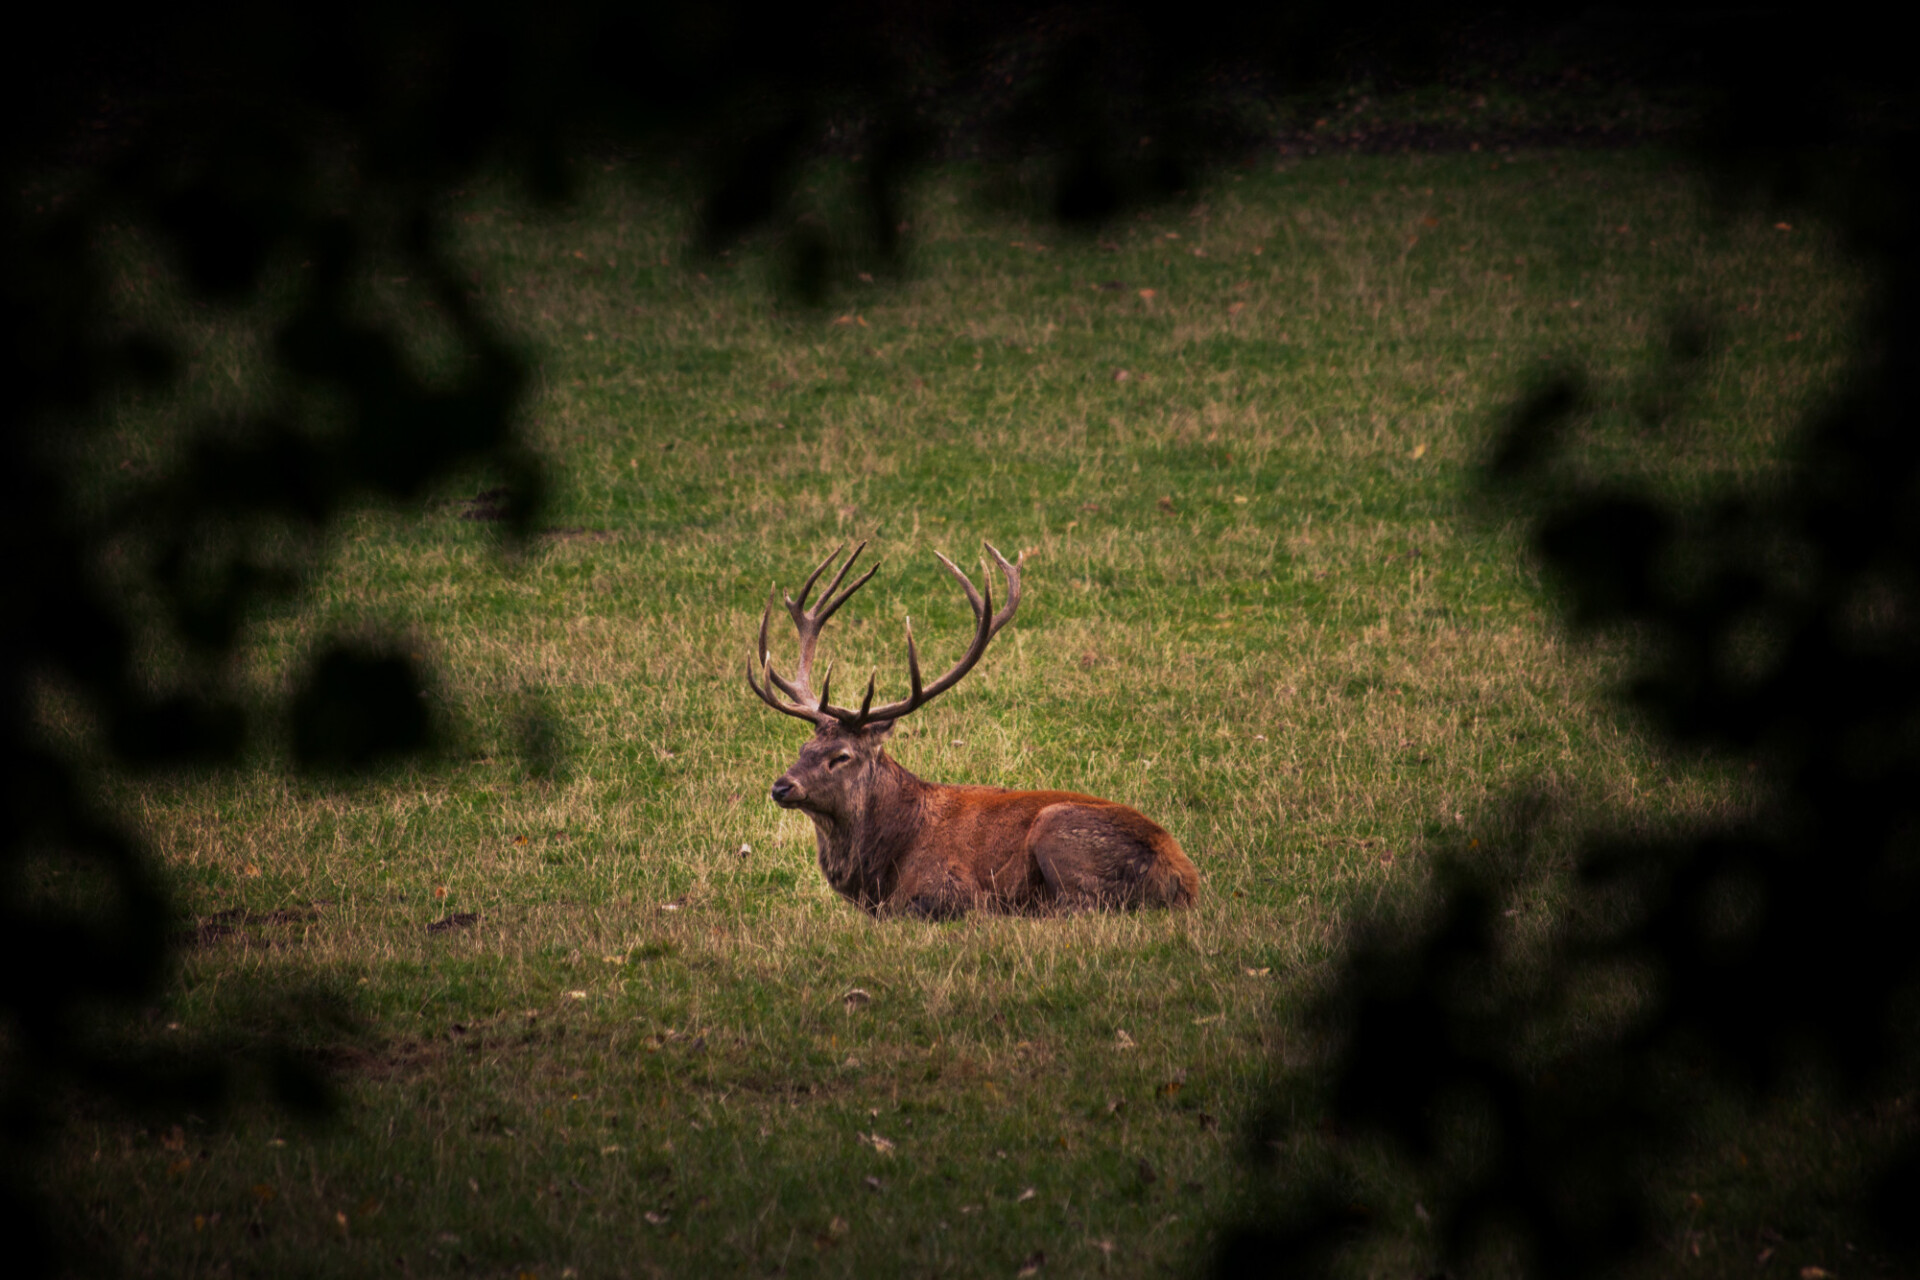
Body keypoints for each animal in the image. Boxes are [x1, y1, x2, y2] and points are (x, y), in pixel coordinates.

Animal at [748, 541, 1198, 921]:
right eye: (804, 747)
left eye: (840, 756)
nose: (781, 786)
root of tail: (1184, 879)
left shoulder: (952, 889)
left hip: (1059, 831)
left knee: (1080, 908)